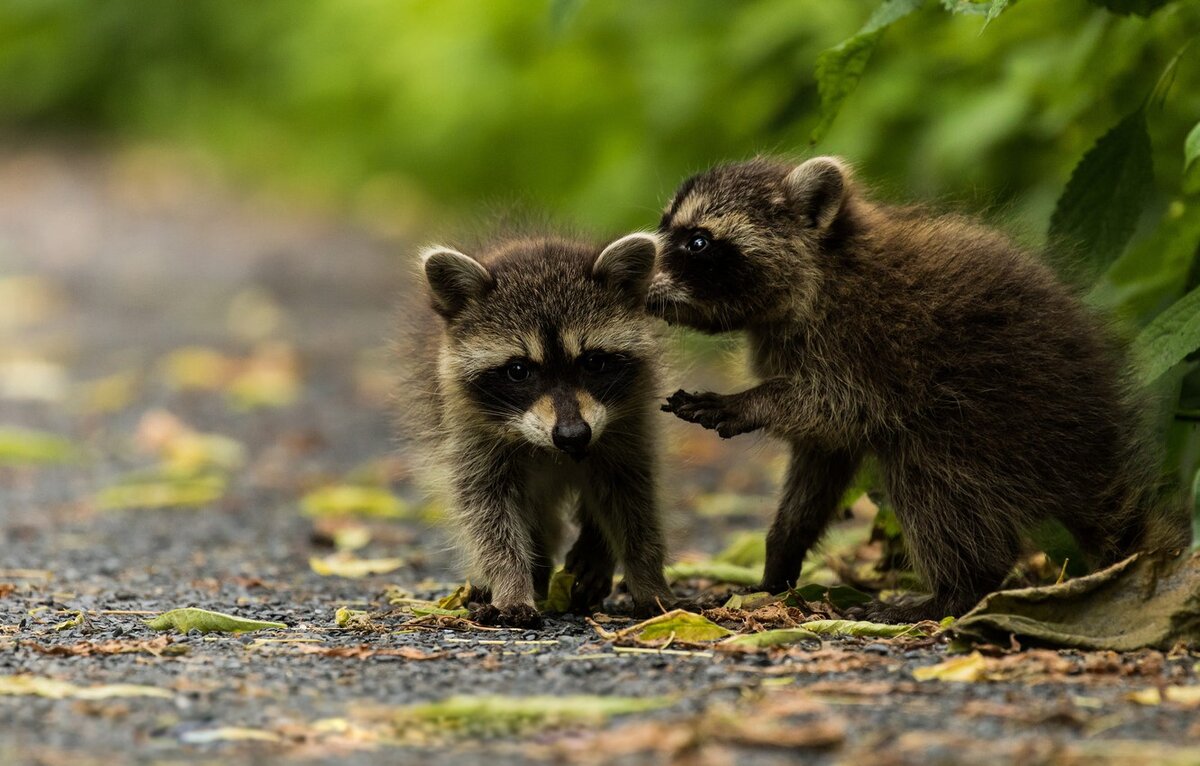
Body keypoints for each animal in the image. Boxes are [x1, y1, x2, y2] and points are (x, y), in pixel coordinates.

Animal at [400, 234, 676, 629]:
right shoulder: (471, 436)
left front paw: (649, 579)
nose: (573, 435)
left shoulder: (628, 427)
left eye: (593, 362)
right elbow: (489, 514)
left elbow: (634, 501)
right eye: (518, 370)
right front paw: (511, 584)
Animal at [652, 154, 1185, 624]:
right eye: (666, 226)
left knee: (929, 480)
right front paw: (781, 553)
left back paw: (958, 589)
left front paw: (748, 403)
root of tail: (1096, 451)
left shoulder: (865, 341)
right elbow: (822, 453)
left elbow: (841, 406)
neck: (821, 269)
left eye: (697, 242)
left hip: (997, 421)